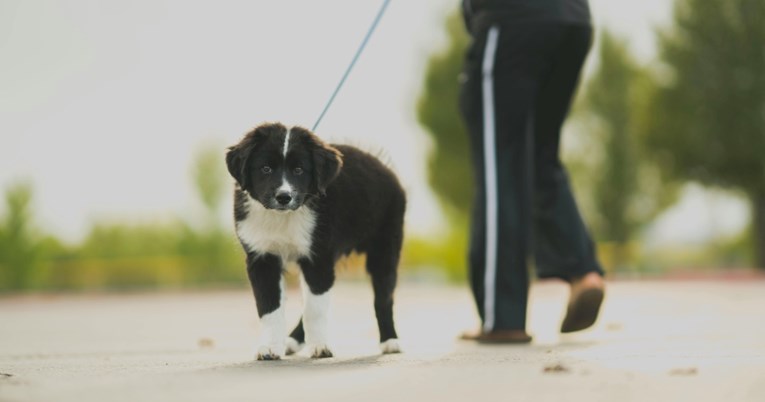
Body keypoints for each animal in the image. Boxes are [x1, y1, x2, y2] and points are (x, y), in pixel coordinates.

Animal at [227, 122, 406, 362]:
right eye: (265, 168)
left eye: (299, 170)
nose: (284, 197)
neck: (284, 217)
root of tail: (385, 168)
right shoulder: (262, 258)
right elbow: (269, 307)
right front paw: (270, 348)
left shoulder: (319, 258)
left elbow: (315, 309)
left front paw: (320, 347)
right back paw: (291, 341)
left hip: (385, 249)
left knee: (383, 298)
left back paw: (390, 341)